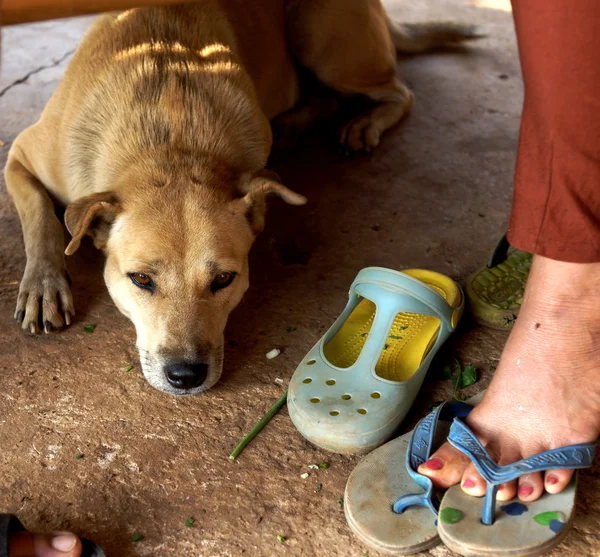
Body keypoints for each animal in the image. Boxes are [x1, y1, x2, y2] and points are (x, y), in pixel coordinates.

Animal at [5, 2, 482, 398]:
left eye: (223, 279)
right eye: (140, 279)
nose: (185, 376)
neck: (169, 140)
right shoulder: (19, 156)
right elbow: (40, 218)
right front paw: (44, 282)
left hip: (323, 40)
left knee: (398, 91)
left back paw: (363, 123)